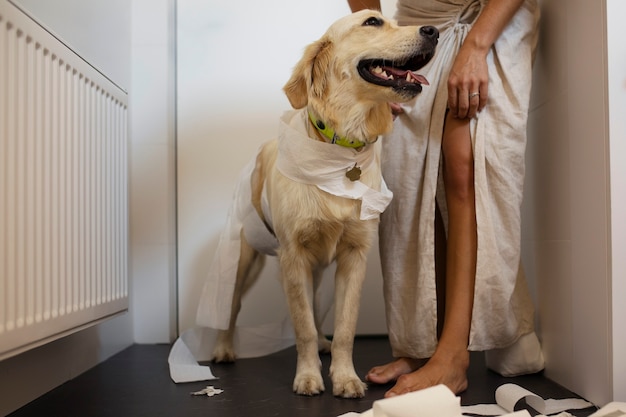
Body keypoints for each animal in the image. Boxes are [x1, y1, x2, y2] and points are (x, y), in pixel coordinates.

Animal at [210, 11, 434, 398]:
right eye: (372, 22)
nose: (433, 31)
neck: (341, 152)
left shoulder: (354, 255)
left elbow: (343, 327)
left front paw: (344, 376)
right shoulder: (293, 255)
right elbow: (302, 327)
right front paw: (308, 376)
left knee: (315, 309)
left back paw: (323, 346)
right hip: (244, 258)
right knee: (231, 304)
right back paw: (224, 348)